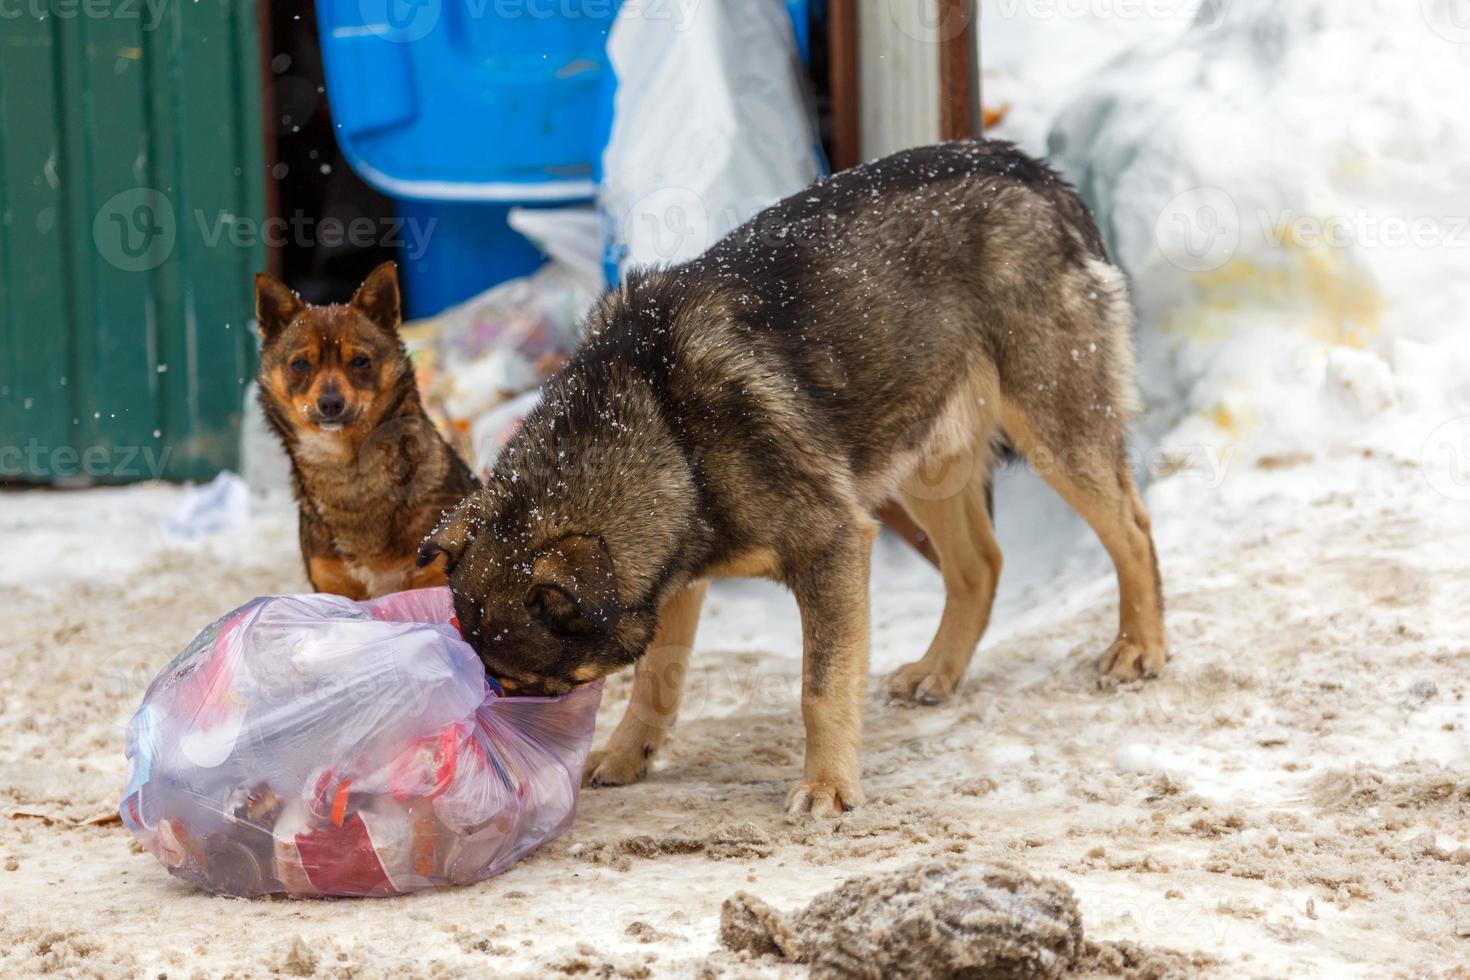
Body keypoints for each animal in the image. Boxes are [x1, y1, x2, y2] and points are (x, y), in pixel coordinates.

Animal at [254, 262, 476, 599]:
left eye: (360, 361)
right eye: (300, 365)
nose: (330, 403)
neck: (349, 472)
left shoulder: (432, 576)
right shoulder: (332, 585)